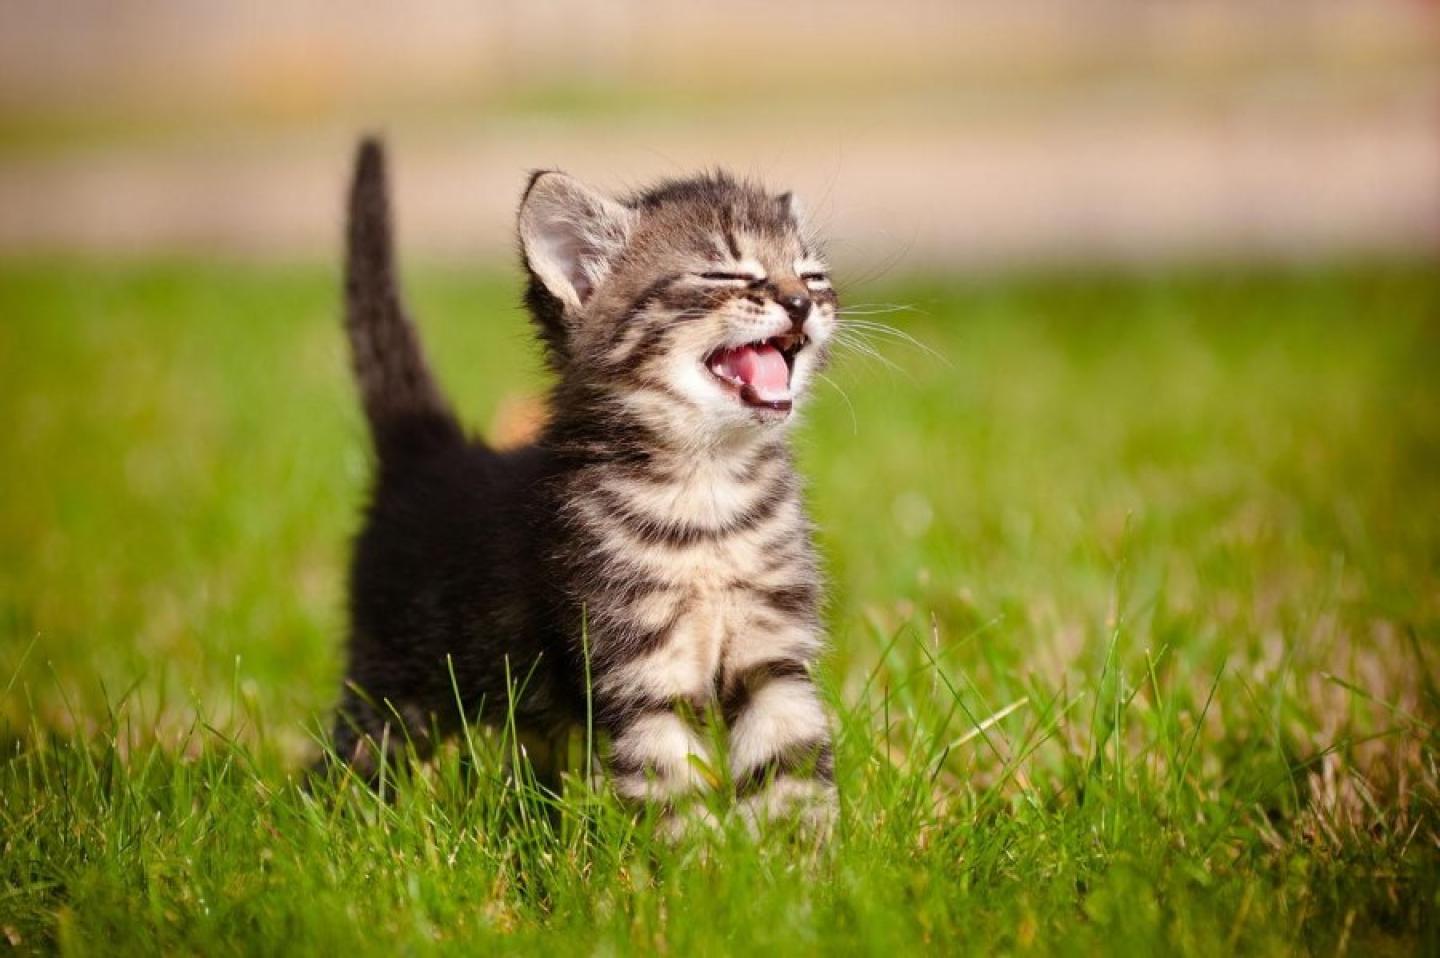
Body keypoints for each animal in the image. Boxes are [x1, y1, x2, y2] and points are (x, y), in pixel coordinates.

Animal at [328, 138, 840, 824]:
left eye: (812, 275)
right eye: (726, 275)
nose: (801, 302)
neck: (707, 488)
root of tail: (431, 452)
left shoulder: (774, 653)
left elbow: (792, 765)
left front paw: (799, 852)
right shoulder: (637, 667)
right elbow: (669, 785)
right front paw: (698, 853)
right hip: (391, 684)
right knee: (350, 761)